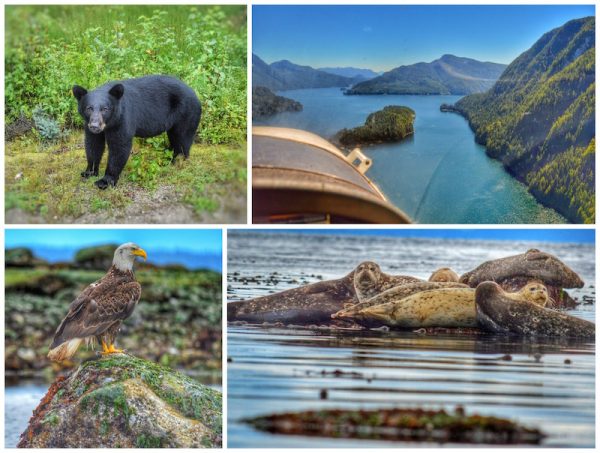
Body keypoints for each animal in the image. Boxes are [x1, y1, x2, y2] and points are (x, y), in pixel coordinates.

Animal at [73, 75, 203, 188]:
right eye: (89, 108)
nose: (95, 126)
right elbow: (93, 145)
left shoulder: (122, 119)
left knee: (182, 138)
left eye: (105, 109)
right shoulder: (88, 124)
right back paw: (167, 158)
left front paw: (105, 181)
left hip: (186, 113)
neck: (109, 124)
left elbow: (119, 147)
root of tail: (194, 93)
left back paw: (178, 160)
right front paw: (89, 172)